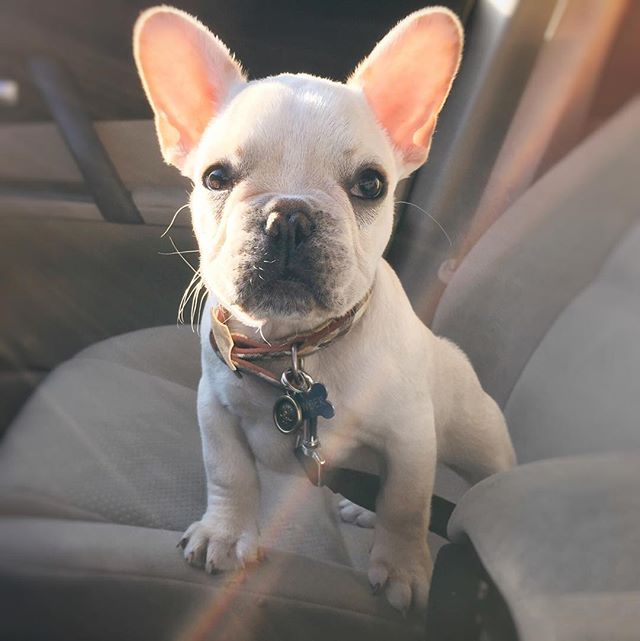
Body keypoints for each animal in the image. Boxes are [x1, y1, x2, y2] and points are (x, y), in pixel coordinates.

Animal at [134, 6, 516, 616]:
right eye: (216, 177)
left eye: (371, 184)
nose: (289, 216)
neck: (292, 347)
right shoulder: (214, 411)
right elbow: (229, 473)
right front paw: (225, 533)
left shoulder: (411, 436)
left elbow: (407, 503)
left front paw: (402, 567)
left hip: (477, 434)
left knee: (482, 478)